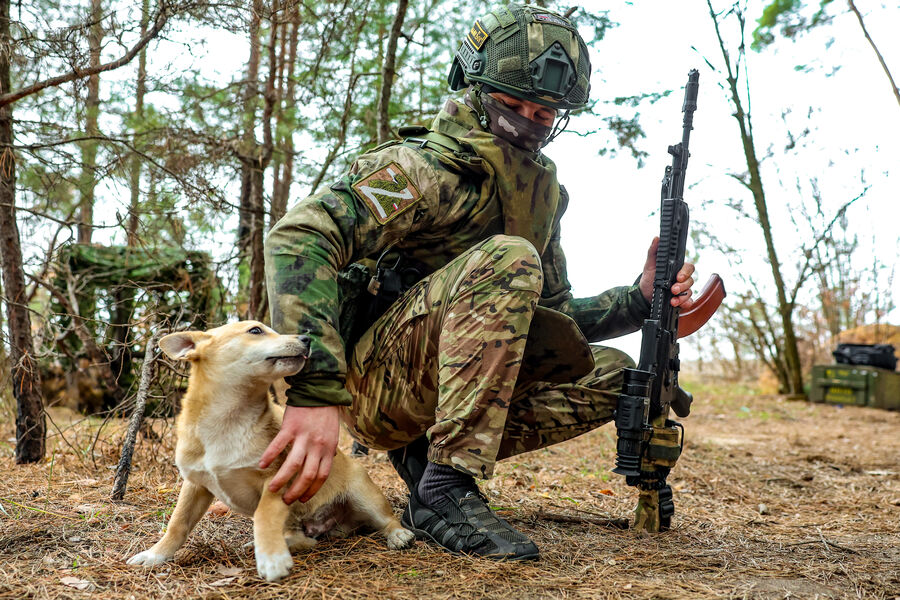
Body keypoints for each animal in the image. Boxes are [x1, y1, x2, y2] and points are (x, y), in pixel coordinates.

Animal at [127, 322, 414, 580]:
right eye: (255, 330)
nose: (307, 339)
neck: (229, 421)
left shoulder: (276, 480)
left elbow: (264, 516)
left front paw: (272, 559)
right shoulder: (195, 485)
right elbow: (178, 523)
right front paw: (154, 554)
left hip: (365, 494)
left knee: (386, 519)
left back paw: (398, 534)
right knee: (303, 539)